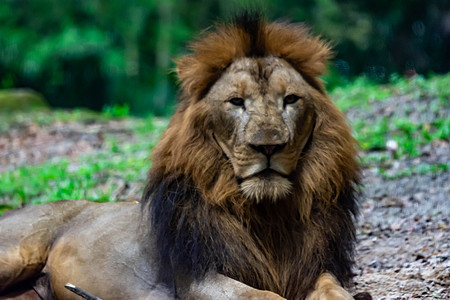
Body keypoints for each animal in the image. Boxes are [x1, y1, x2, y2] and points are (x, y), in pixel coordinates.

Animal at [0, 13, 360, 300]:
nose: (268, 146)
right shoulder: (197, 279)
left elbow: (334, 290)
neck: (267, 214)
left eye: (290, 99)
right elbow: (263, 296)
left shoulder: (313, 268)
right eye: (237, 102)